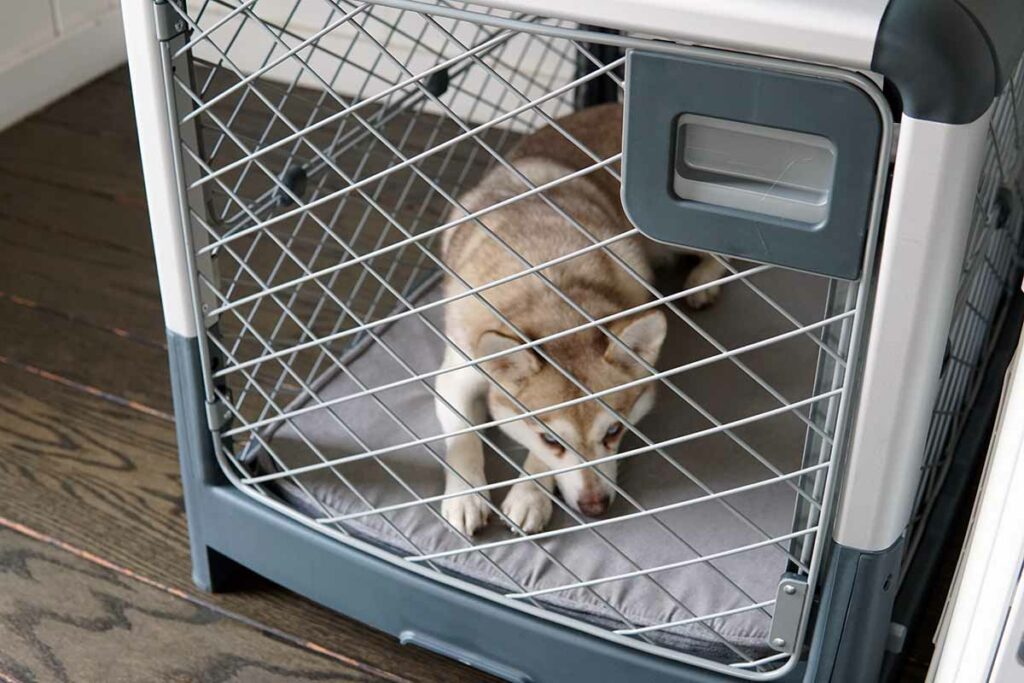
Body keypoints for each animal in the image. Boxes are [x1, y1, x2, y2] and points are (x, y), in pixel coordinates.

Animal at [436, 104, 724, 536]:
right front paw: (466, 497)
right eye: (551, 439)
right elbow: (464, 436)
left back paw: (704, 280)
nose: (595, 507)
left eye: (614, 431)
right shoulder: (458, 371)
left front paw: (529, 493)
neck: (550, 285)